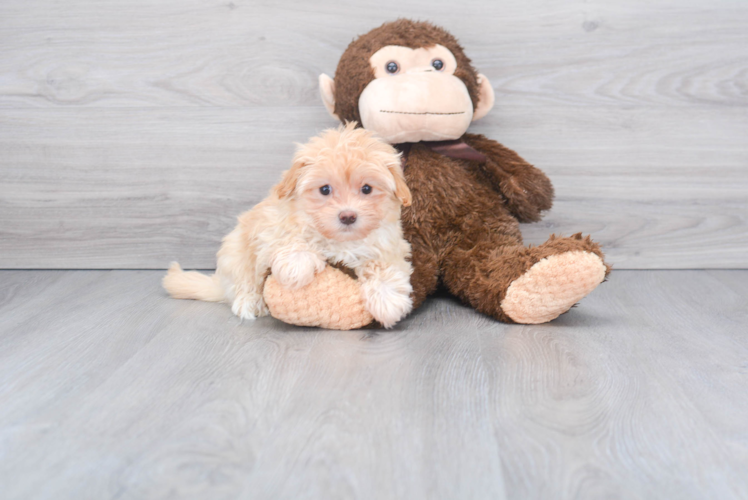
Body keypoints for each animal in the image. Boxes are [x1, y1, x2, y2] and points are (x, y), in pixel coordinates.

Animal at [163, 124, 414, 328]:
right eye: (325, 189)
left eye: (367, 189)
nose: (348, 216)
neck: (339, 241)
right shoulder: (270, 225)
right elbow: (290, 237)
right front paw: (297, 265)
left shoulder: (389, 246)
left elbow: (384, 267)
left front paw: (387, 300)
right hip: (235, 252)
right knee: (243, 282)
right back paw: (250, 301)